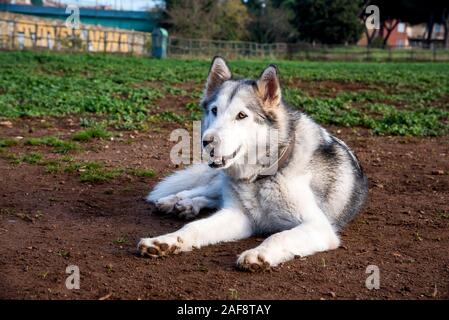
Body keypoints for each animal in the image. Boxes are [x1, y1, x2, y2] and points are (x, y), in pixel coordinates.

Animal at [137, 57, 368, 270]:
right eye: (214, 110)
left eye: (241, 115)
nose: (206, 141)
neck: (261, 177)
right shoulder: (238, 216)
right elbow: (193, 228)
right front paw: (165, 241)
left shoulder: (318, 226)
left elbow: (279, 236)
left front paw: (259, 254)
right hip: (218, 185)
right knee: (205, 191)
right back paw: (176, 201)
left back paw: (187, 205)